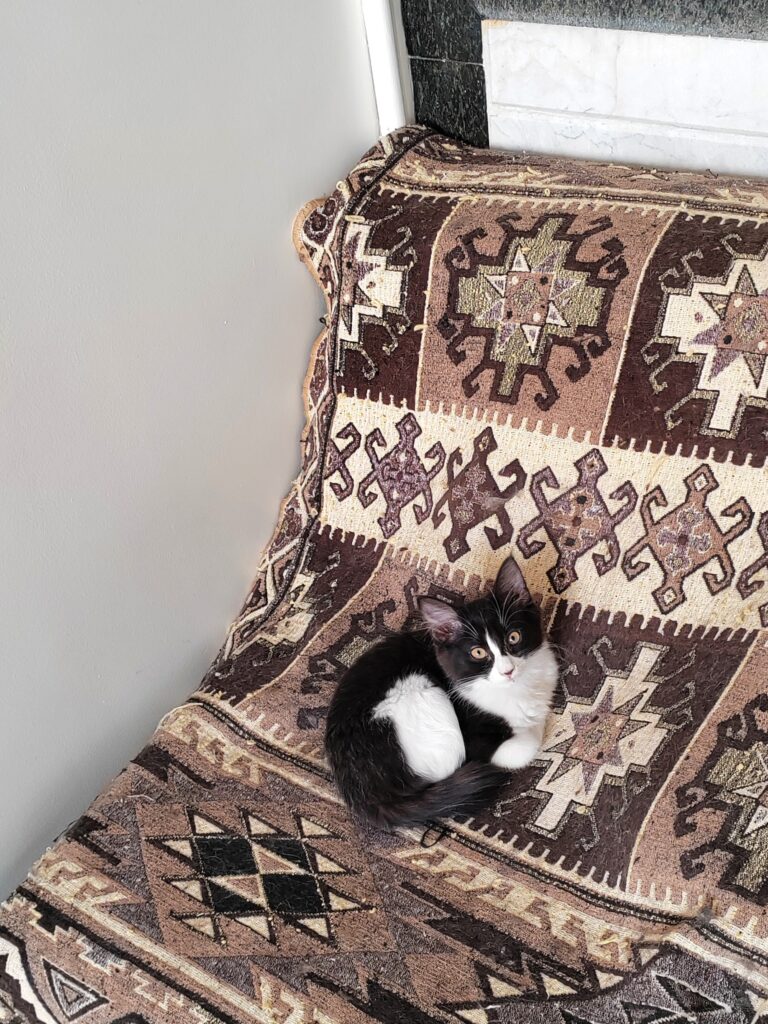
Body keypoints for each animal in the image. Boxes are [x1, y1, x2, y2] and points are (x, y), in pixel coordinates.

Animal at [325, 556, 558, 827]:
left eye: (513, 637)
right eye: (478, 652)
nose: (507, 671)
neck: (517, 687)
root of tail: (371, 799)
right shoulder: (477, 739)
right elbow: (527, 744)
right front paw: (533, 725)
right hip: (421, 694)